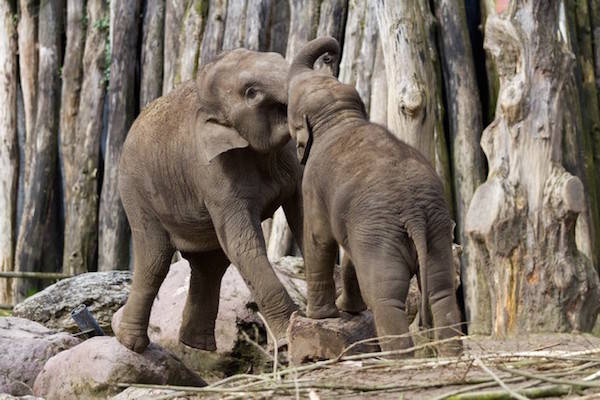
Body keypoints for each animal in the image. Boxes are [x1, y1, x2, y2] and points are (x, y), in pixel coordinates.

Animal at [116, 47, 302, 354]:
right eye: (252, 92)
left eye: (278, 57)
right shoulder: (215, 172)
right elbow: (244, 246)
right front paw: (289, 341)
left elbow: (306, 217)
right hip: (136, 190)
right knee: (155, 260)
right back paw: (131, 345)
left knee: (209, 265)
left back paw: (197, 346)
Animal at [286, 38, 464, 356]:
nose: (330, 55)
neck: (339, 115)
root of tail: (414, 212)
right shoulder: (360, 227)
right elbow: (349, 256)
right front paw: (347, 310)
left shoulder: (313, 184)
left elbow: (319, 239)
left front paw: (319, 316)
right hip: (433, 229)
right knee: (441, 290)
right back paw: (450, 356)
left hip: (386, 235)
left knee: (385, 296)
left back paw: (398, 359)